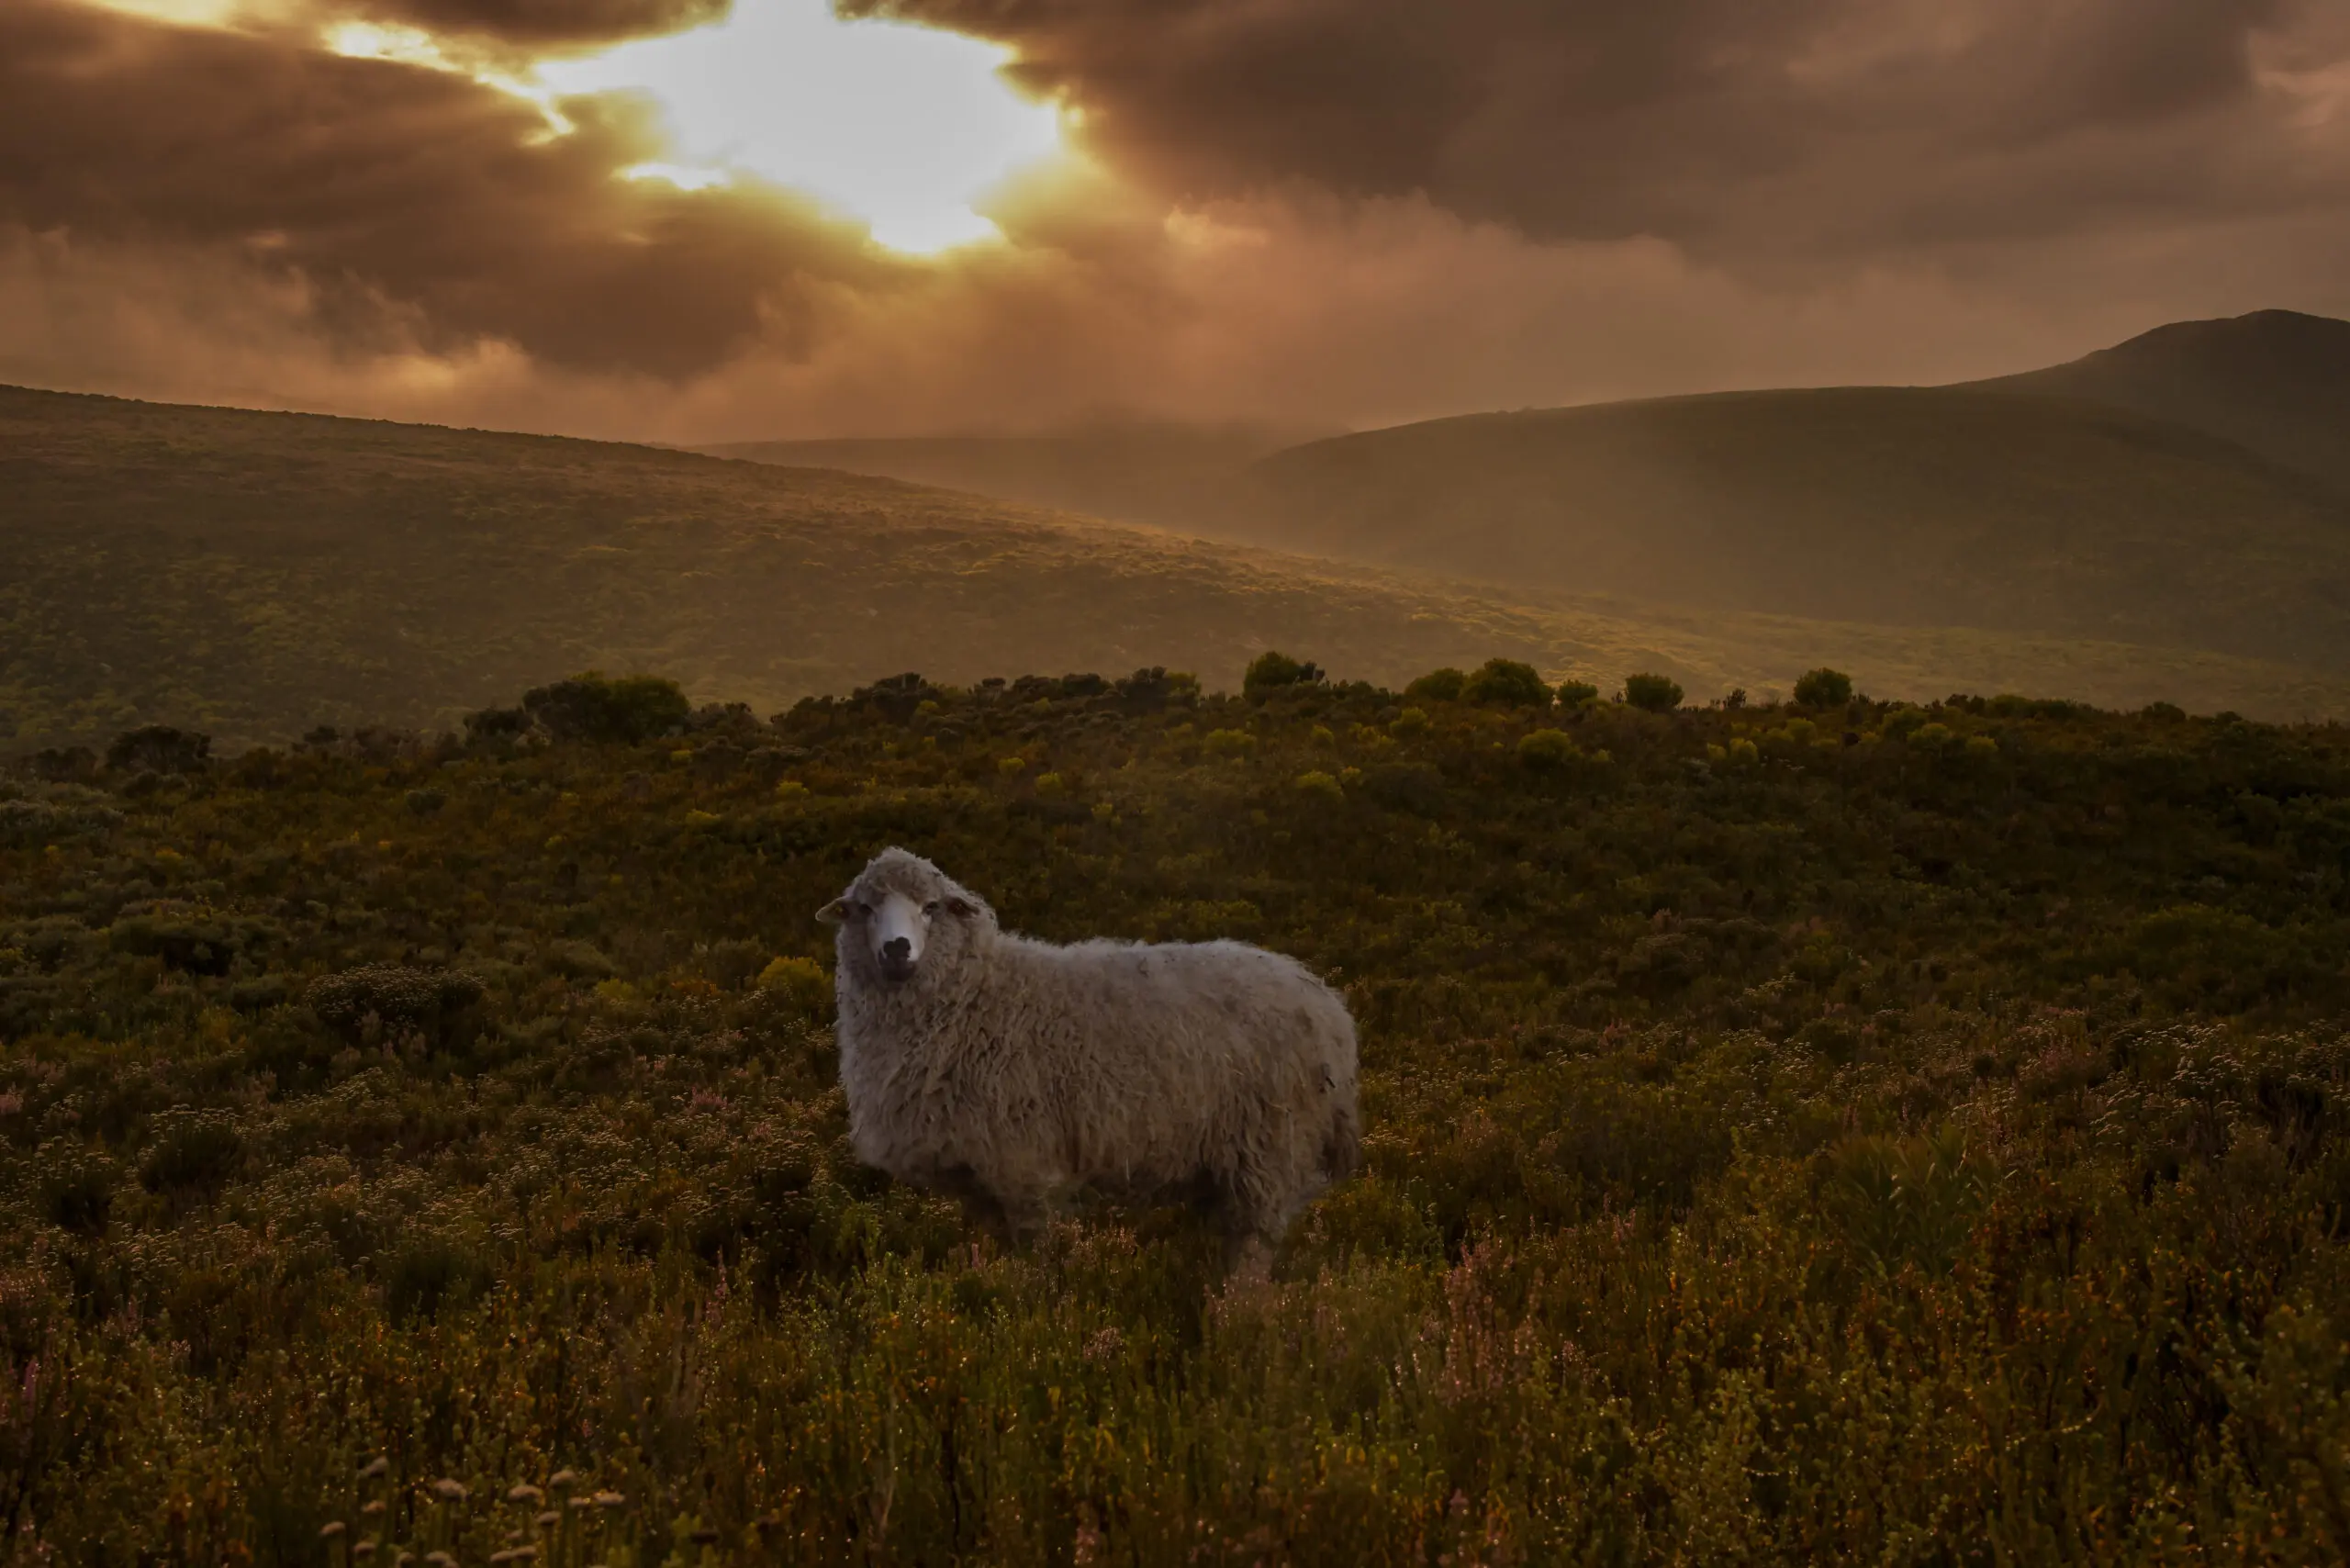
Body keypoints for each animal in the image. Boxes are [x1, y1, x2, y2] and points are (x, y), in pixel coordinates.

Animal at [822, 846, 1362, 1279]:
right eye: (865, 908)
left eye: (931, 907)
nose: (897, 950)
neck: (976, 998)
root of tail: (1330, 1011)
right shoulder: (981, 1175)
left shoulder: (1024, 1163)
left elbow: (1034, 1257)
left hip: (1270, 1145)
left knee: (1254, 1250)